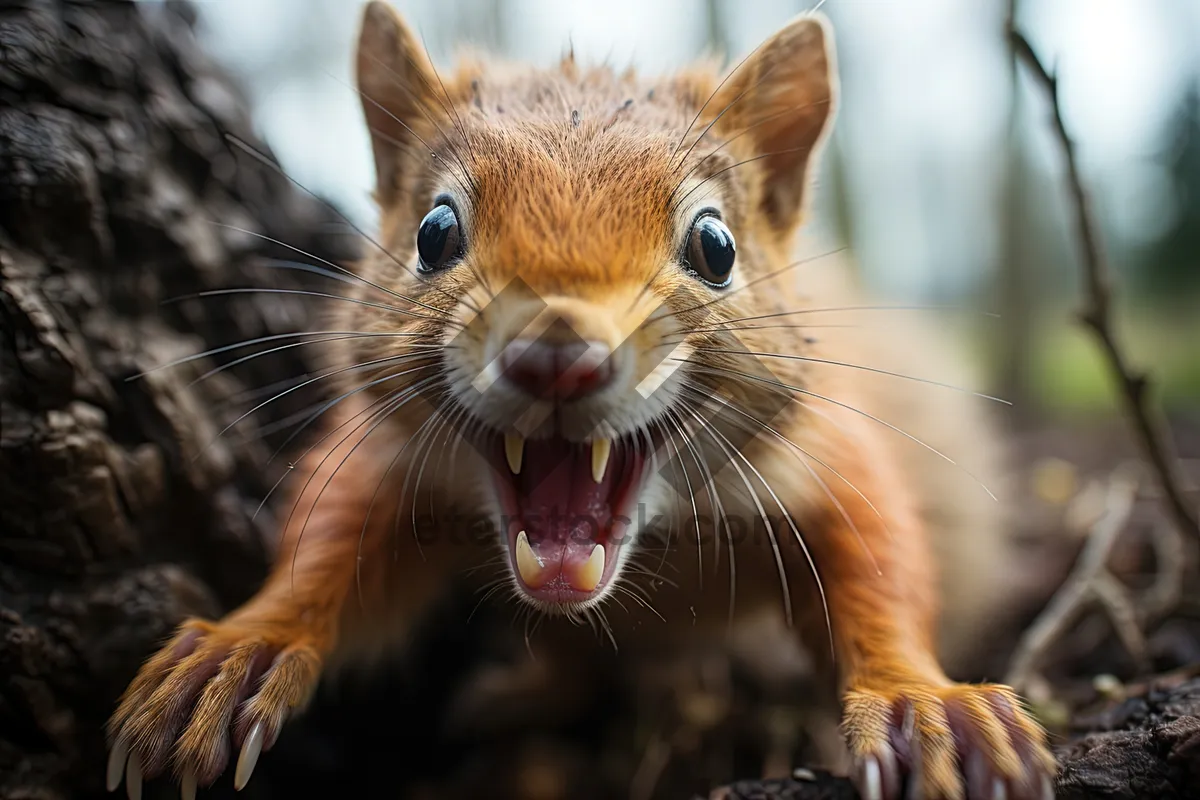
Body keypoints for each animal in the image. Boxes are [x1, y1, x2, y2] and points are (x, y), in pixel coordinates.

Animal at [108, 3, 1056, 796]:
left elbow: (880, 563)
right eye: (434, 233)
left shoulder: (827, 450)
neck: (657, 554)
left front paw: (919, 699)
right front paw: (242, 646)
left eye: (717, 246)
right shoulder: (385, 455)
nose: (556, 356)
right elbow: (327, 541)